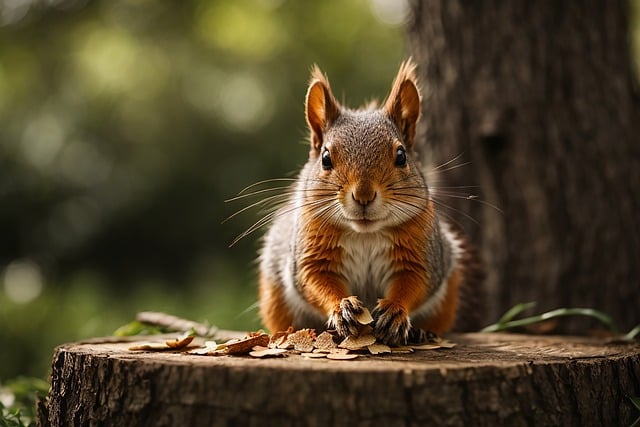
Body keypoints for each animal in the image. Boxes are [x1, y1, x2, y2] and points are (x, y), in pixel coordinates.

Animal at [258, 60, 482, 346]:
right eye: (326, 158)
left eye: (401, 156)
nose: (363, 195)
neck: (364, 233)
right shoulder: (312, 254)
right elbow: (314, 279)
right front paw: (342, 307)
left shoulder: (423, 254)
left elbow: (416, 280)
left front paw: (395, 310)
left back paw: (421, 332)